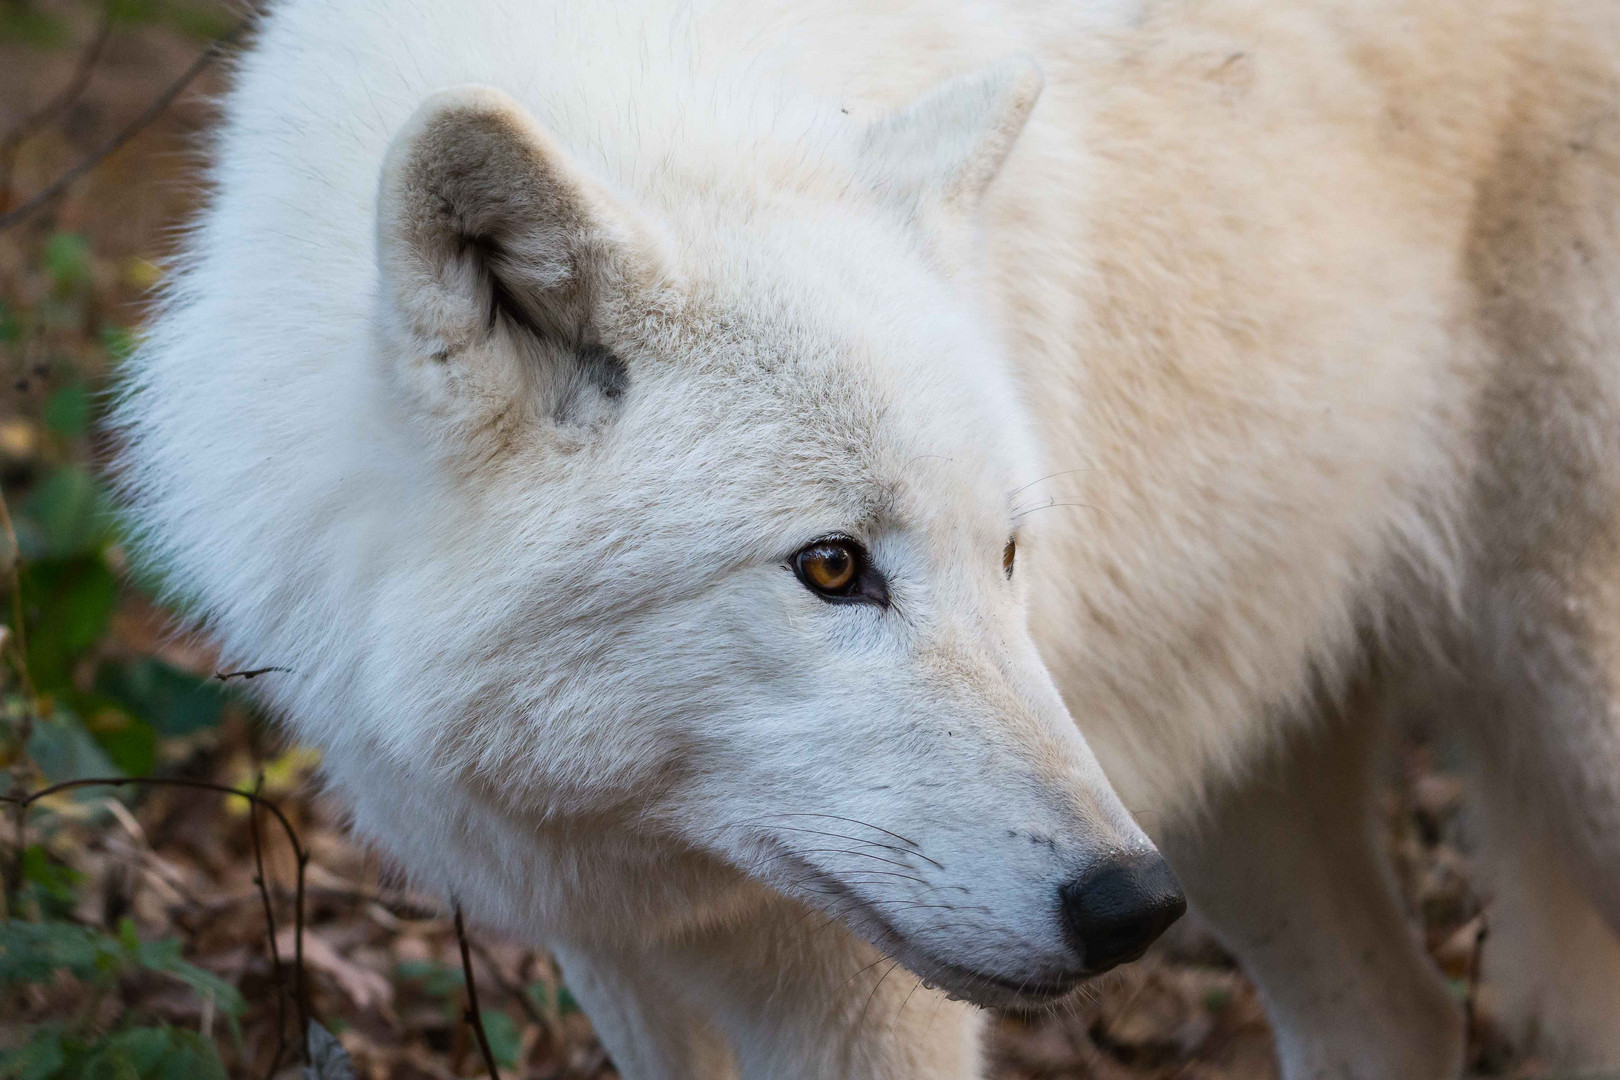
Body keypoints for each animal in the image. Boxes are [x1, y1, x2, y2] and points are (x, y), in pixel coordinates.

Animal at [119, 0, 1620, 1075]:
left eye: (1007, 556)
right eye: (832, 567)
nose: (1125, 907)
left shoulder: (857, 1001)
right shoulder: (615, 954)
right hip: (1236, 780)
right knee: (1399, 1017)